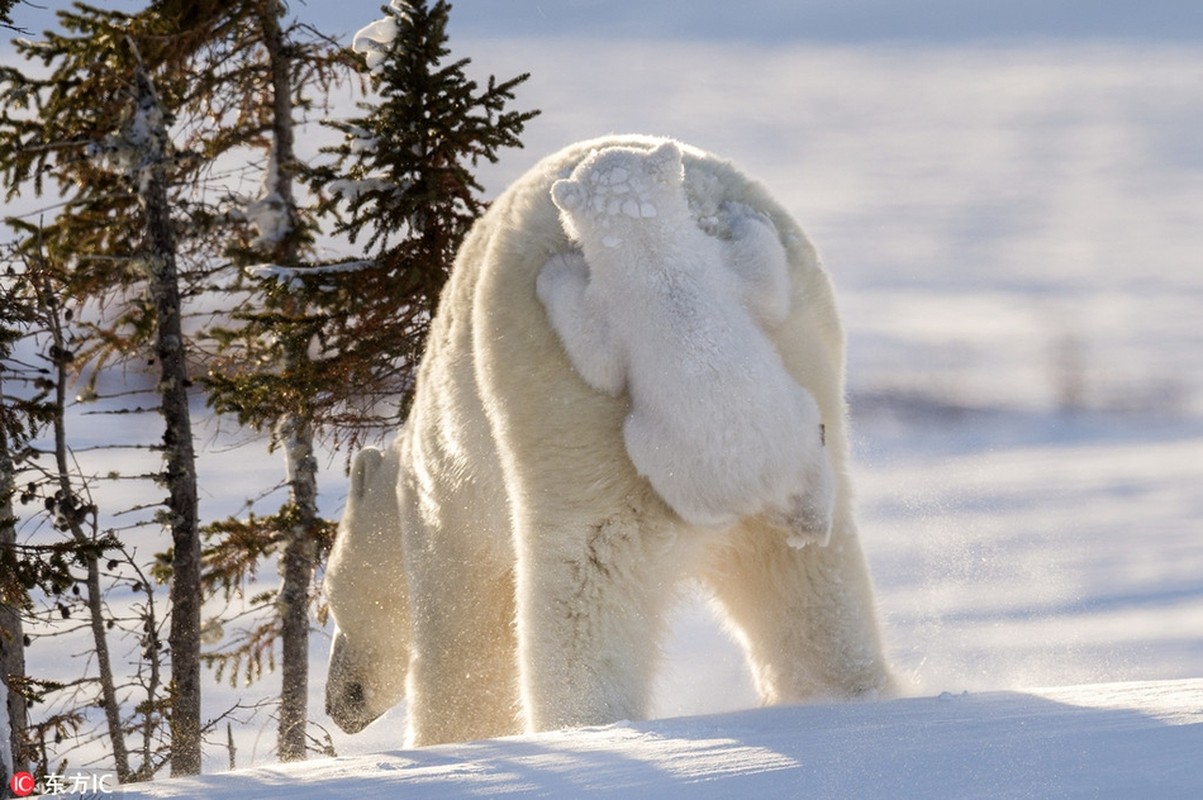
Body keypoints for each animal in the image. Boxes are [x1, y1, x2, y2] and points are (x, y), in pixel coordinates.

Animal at [538, 140, 832, 546]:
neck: (654, 256)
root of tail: (765, 486)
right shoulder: (715, 267)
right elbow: (766, 289)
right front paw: (747, 216)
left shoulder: (617, 303)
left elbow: (600, 366)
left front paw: (555, 270)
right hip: (796, 429)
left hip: (671, 456)